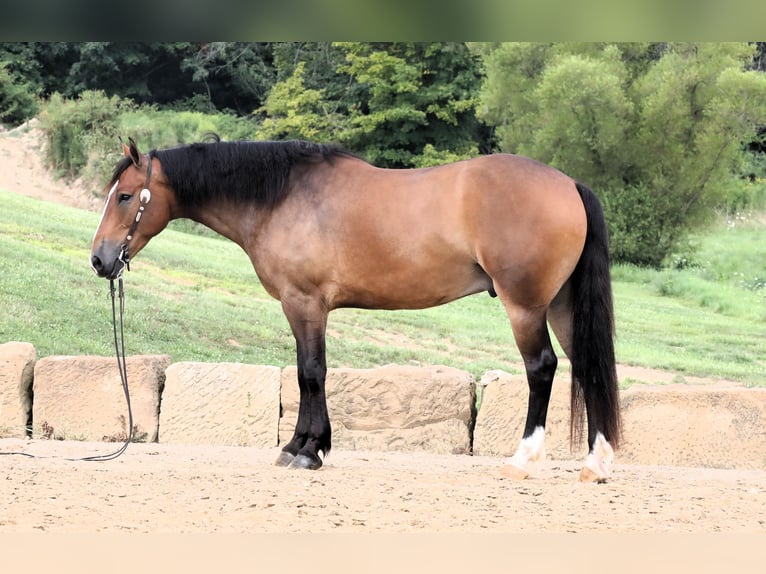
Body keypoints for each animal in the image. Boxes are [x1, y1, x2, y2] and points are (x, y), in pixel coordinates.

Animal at [90, 137, 624, 484]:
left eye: (124, 196)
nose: (99, 259)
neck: (283, 197)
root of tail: (570, 184)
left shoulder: (304, 303)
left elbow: (311, 373)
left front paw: (307, 451)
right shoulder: (306, 308)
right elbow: (309, 373)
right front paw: (303, 446)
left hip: (526, 307)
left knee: (543, 368)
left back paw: (523, 459)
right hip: (562, 305)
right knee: (588, 368)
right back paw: (595, 464)